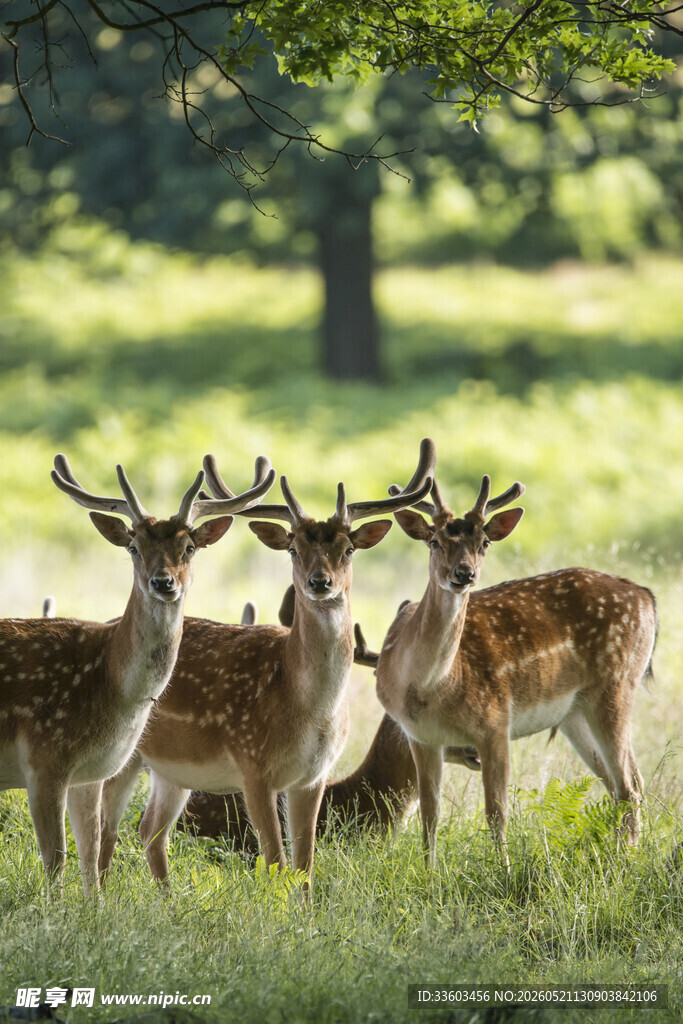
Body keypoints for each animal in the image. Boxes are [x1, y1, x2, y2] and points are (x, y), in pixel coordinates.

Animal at [0, 453, 275, 892]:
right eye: (133, 546)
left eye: (189, 547)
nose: (163, 582)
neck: (106, 682)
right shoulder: (44, 757)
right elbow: (55, 860)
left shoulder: (89, 772)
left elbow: (90, 853)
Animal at [98, 440, 437, 888]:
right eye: (294, 549)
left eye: (348, 549)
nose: (319, 582)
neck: (308, 708)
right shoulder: (253, 766)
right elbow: (276, 862)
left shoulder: (313, 776)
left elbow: (305, 866)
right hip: (125, 753)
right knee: (107, 825)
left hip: (173, 770)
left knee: (150, 830)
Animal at [374, 473, 658, 865]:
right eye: (434, 541)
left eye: (484, 542)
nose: (464, 574)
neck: (432, 687)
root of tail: (647, 597)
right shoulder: (421, 736)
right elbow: (430, 815)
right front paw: (429, 874)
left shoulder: (495, 721)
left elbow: (496, 812)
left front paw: (503, 870)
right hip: (575, 713)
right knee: (622, 783)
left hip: (617, 685)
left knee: (629, 785)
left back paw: (625, 861)